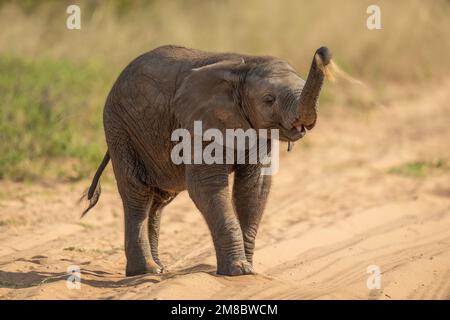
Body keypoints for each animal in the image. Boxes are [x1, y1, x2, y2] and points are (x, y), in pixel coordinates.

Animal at [82, 43, 332, 276]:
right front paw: (239, 270)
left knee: (159, 199)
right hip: (120, 128)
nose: (322, 52)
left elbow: (254, 187)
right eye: (269, 100)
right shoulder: (198, 123)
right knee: (138, 193)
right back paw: (146, 271)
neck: (245, 67)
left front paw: (248, 268)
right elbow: (206, 185)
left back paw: (160, 268)